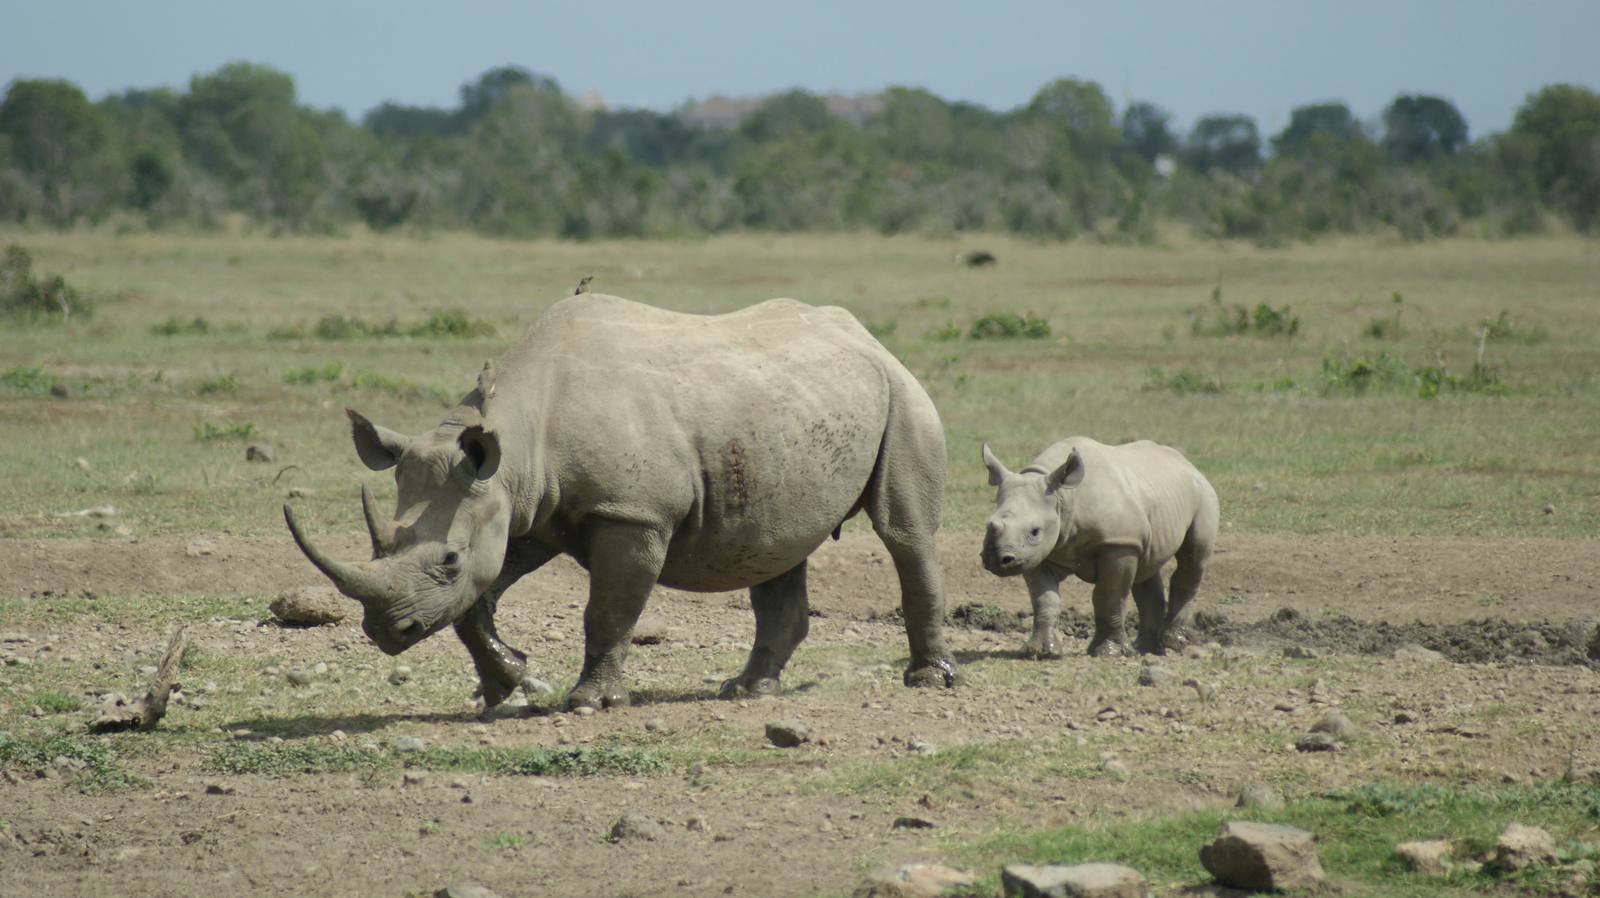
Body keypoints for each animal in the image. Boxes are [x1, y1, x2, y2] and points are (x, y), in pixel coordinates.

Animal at [284, 294, 961, 710]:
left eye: (447, 560)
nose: (385, 632)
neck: (518, 439)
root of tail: (866, 335)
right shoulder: (522, 510)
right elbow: (476, 606)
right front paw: (509, 685)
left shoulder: (631, 514)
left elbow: (606, 612)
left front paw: (590, 703)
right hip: (789, 411)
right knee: (776, 545)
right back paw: (747, 691)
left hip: (902, 392)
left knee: (903, 532)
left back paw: (928, 680)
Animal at [979, 437, 1218, 658]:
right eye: (989, 524)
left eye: (1035, 531)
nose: (998, 559)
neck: (1063, 497)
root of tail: (1188, 464)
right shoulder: (1036, 554)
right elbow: (1044, 598)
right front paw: (1040, 651)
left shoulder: (1119, 543)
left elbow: (1108, 596)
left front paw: (1107, 652)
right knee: (1147, 567)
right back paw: (1143, 649)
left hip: (1202, 494)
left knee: (1193, 558)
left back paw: (1173, 644)